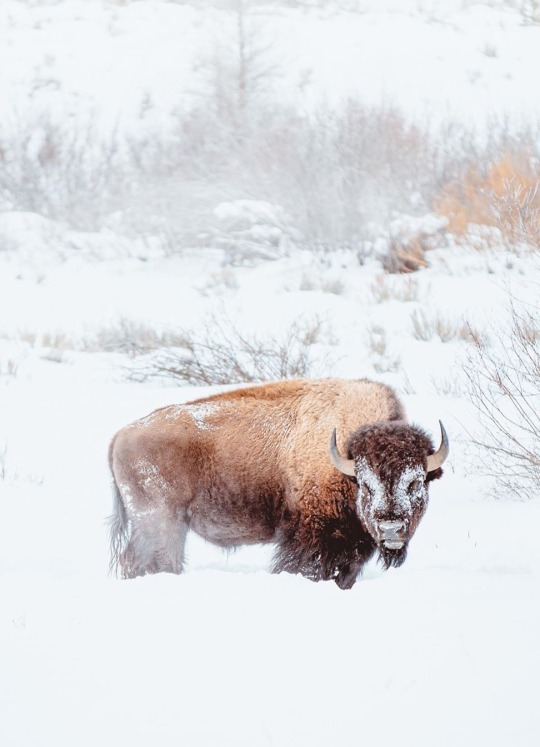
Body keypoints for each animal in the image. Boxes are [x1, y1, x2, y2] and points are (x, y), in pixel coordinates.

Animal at [109, 378, 448, 589]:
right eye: (365, 484)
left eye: (416, 482)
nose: (391, 528)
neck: (342, 461)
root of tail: (122, 435)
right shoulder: (311, 539)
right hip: (161, 524)